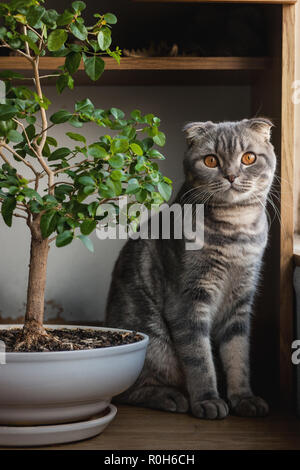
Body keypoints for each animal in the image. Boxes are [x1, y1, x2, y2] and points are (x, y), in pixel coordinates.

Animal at [104, 117, 276, 418]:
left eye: (248, 158)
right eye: (210, 160)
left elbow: (238, 356)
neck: (237, 231)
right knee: (127, 390)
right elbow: (200, 360)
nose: (231, 175)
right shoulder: (188, 300)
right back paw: (171, 397)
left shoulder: (240, 301)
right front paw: (208, 400)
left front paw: (244, 398)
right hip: (154, 341)